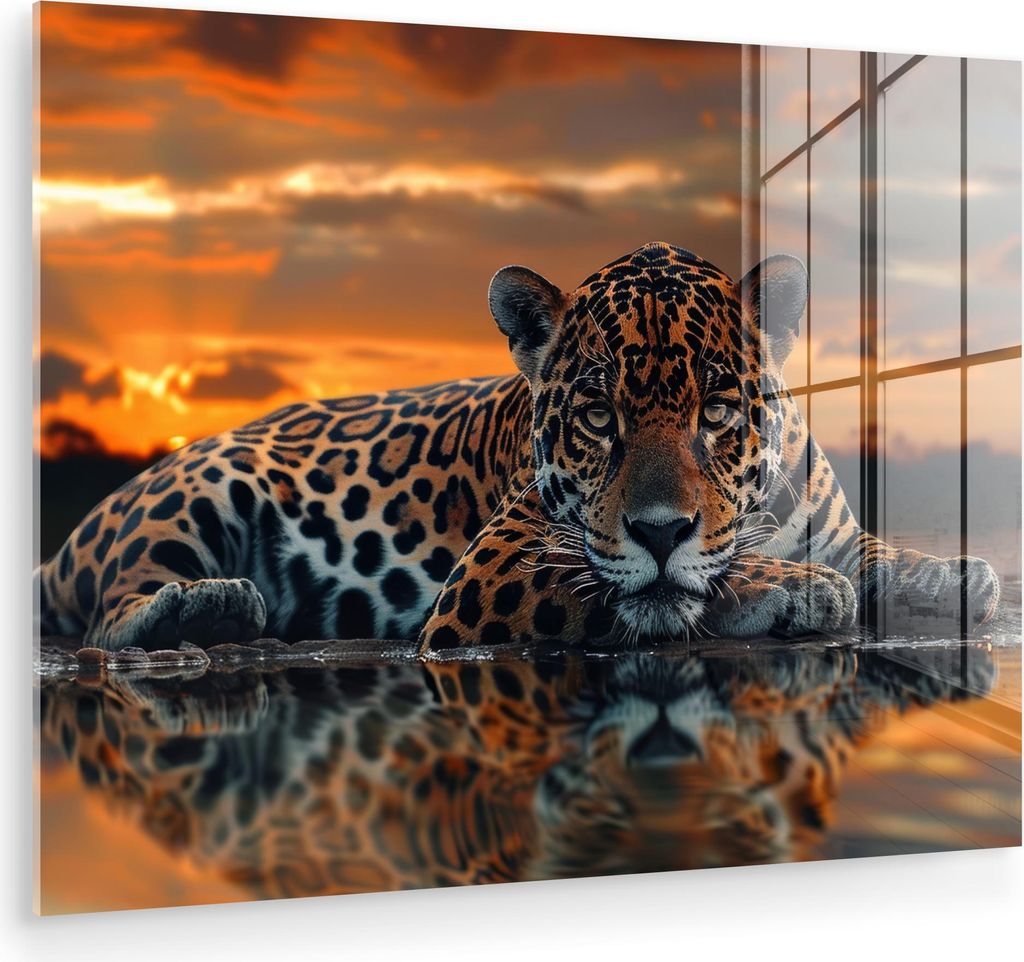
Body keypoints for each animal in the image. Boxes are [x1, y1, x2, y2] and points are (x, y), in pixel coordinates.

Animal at [36, 242, 1001, 652]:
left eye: (720, 409)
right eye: (598, 417)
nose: (660, 529)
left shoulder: (835, 527)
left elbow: (878, 552)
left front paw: (954, 575)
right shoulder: (494, 571)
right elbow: (655, 586)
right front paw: (792, 587)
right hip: (201, 488)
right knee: (109, 614)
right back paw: (210, 609)